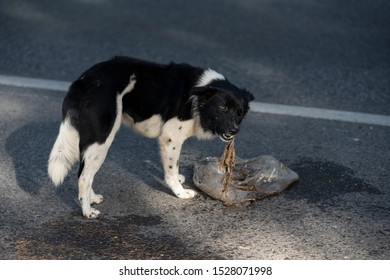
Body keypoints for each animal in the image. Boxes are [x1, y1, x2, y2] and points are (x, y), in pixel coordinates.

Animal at [47, 56, 254, 219]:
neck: (199, 95)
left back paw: (92, 198)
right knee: (84, 176)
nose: (234, 130)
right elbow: (171, 169)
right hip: (102, 140)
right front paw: (180, 192)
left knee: (84, 172)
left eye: (240, 112)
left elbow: (174, 166)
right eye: (223, 108)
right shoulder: (170, 138)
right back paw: (87, 211)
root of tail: (81, 82)